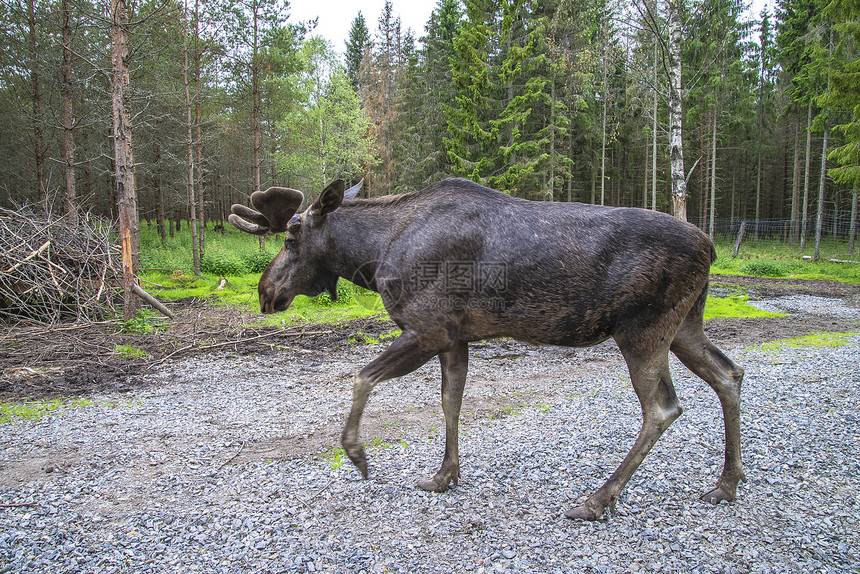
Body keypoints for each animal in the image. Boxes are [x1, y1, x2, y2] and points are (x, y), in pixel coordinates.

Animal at [230, 179, 744, 520]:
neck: (373, 257)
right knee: (728, 373)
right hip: (684, 325)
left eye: (291, 235)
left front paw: (357, 454)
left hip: (643, 330)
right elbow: (450, 401)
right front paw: (445, 476)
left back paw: (598, 499)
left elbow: (362, 377)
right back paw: (726, 484)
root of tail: (711, 246)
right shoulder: (455, 338)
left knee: (662, 407)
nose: (264, 292)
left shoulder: (428, 328)